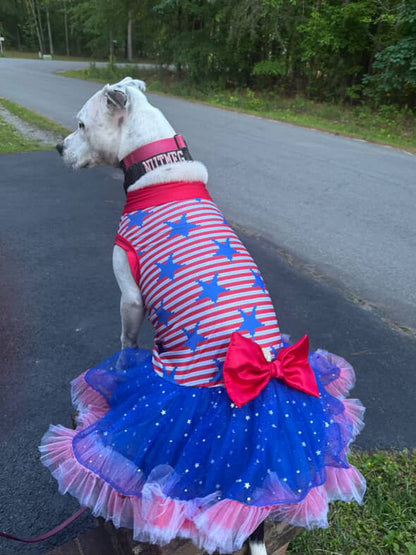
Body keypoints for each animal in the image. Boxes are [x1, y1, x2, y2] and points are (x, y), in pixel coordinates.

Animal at [57, 77, 273, 555]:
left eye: (81, 124)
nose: (58, 147)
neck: (154, 164)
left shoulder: (131, 296)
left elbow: (125, 342)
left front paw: (120, 369)